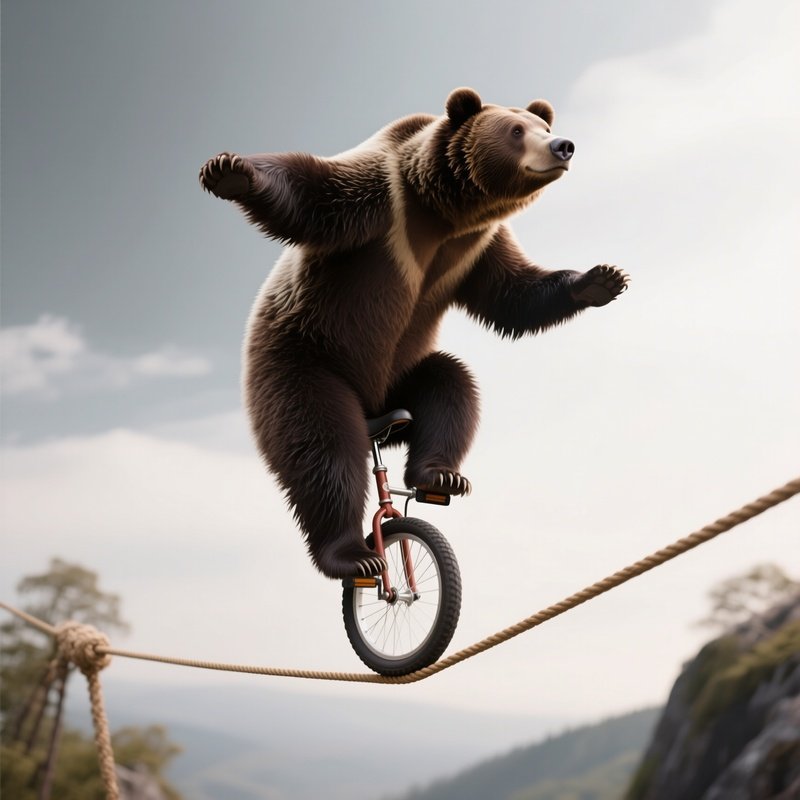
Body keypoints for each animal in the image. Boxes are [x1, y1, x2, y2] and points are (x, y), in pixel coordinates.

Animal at [200, 87, 628, 580]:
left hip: (401, 377)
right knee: (324, 447)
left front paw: (601, 280)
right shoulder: (382, 200)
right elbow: (313, 194)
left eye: (543, 127)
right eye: (517, 130)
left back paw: (439, 474)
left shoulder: (478, 246)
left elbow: (512, 293)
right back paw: (351, 553)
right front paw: (231, 171)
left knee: (451, 387)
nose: (563, 146)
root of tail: (374, 411)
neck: (446, 215)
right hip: (301, 361)